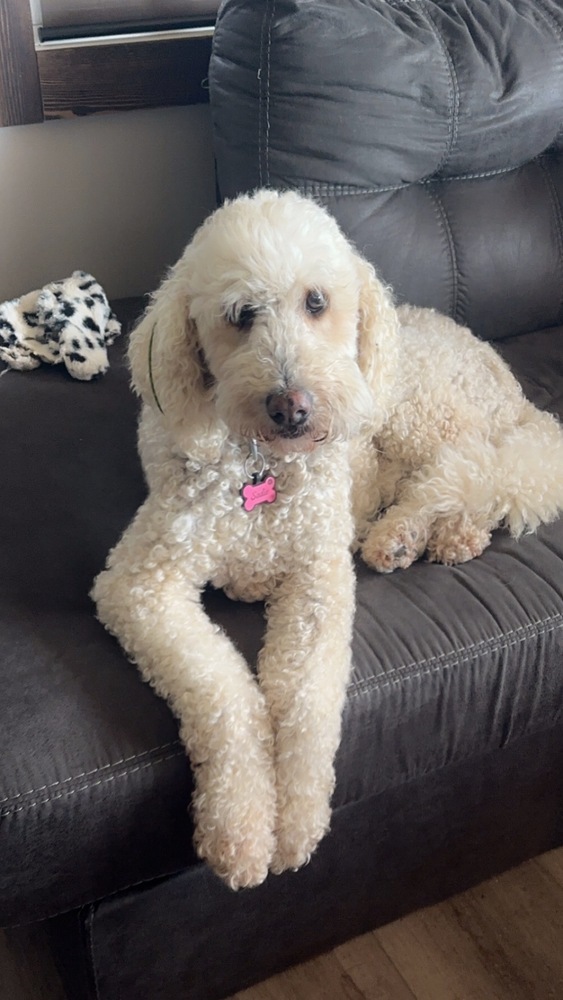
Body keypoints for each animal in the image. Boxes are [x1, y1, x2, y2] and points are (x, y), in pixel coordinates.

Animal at [92, 188, 563, 892]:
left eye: (316, 302)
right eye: (241, 315)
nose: (292, 406)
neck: (262, 466)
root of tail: (503, 376)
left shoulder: (317, 579)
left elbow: (307, 703)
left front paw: (296, 822)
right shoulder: (142, 583)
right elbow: (225, 693)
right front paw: (240, 827)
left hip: (416, 412)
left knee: (471, 468)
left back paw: (408, 533)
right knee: (464, 477)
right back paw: (429, 536)